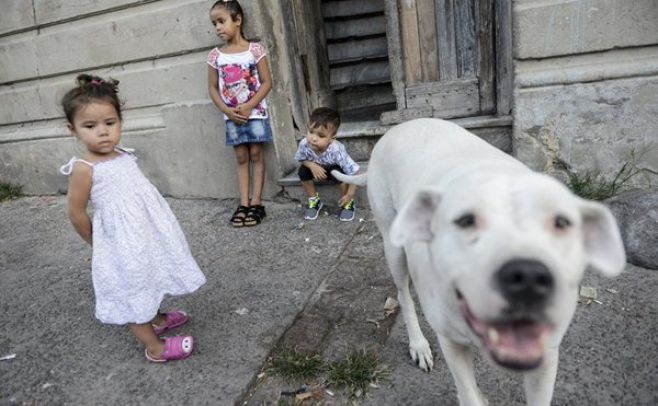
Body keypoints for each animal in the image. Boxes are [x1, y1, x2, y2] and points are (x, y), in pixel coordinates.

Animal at [334, 119, 624, 404]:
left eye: (562, 223)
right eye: (466, 221)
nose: (528, 277)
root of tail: (396, 128)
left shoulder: (546, 354)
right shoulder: (451, 342)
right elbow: (468, 393)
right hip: (393, 245)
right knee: (404, 295)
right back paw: (418, 344)